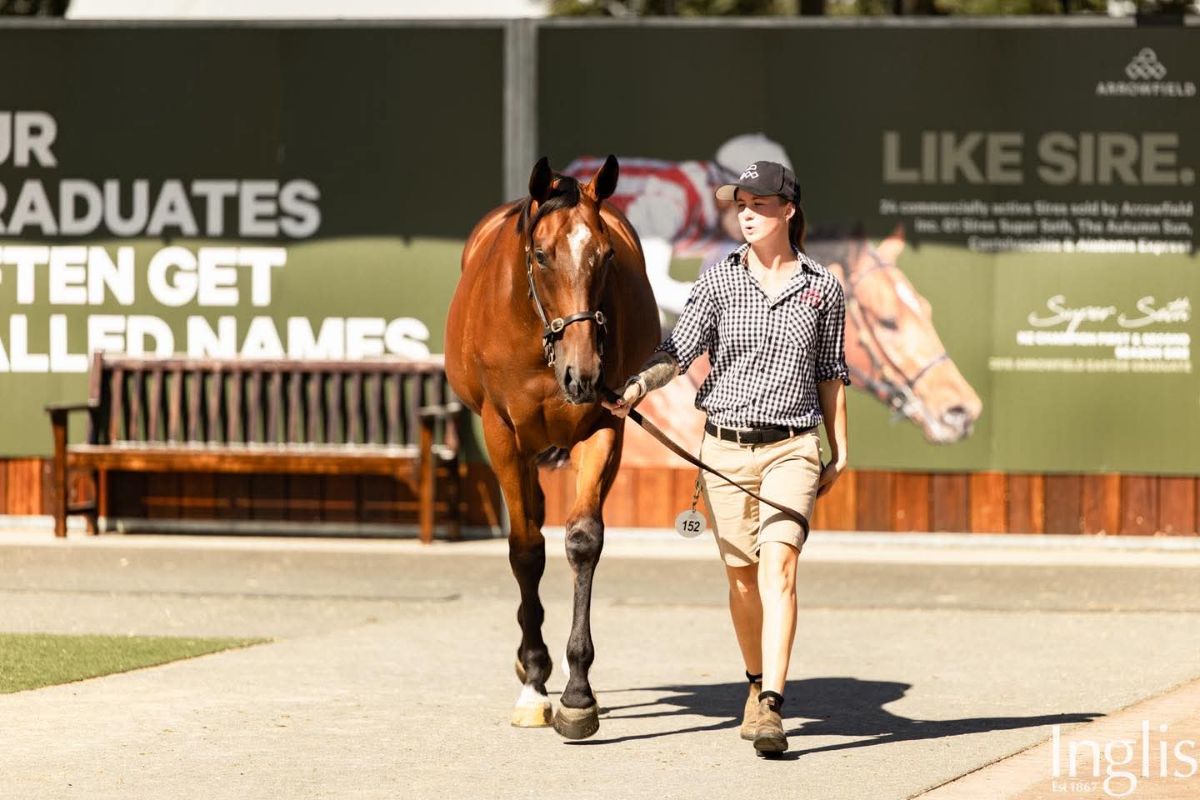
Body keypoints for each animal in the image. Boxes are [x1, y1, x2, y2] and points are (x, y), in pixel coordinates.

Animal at [444, 155, 661, 739]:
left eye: (606, 256)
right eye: (541, 255)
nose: (581, 372)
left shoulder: (605, 423)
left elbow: (582, 541)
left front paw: (577, 691)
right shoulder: (501, 434)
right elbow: (525, 549)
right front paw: (535, 680)